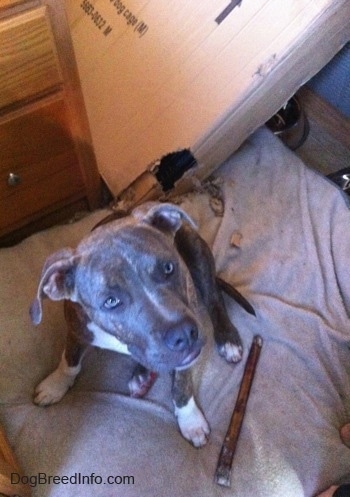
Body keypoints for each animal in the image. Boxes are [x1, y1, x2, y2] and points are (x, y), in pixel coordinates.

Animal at [30, 202, 249, 446]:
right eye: (111, 301)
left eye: (168, 268)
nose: (184, 334)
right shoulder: (75, 330)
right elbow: (69, 360)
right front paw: (55, 384)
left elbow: (182, 386)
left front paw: (190, 419)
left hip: (196, 254)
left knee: (214, 299)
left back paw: (227, 339)